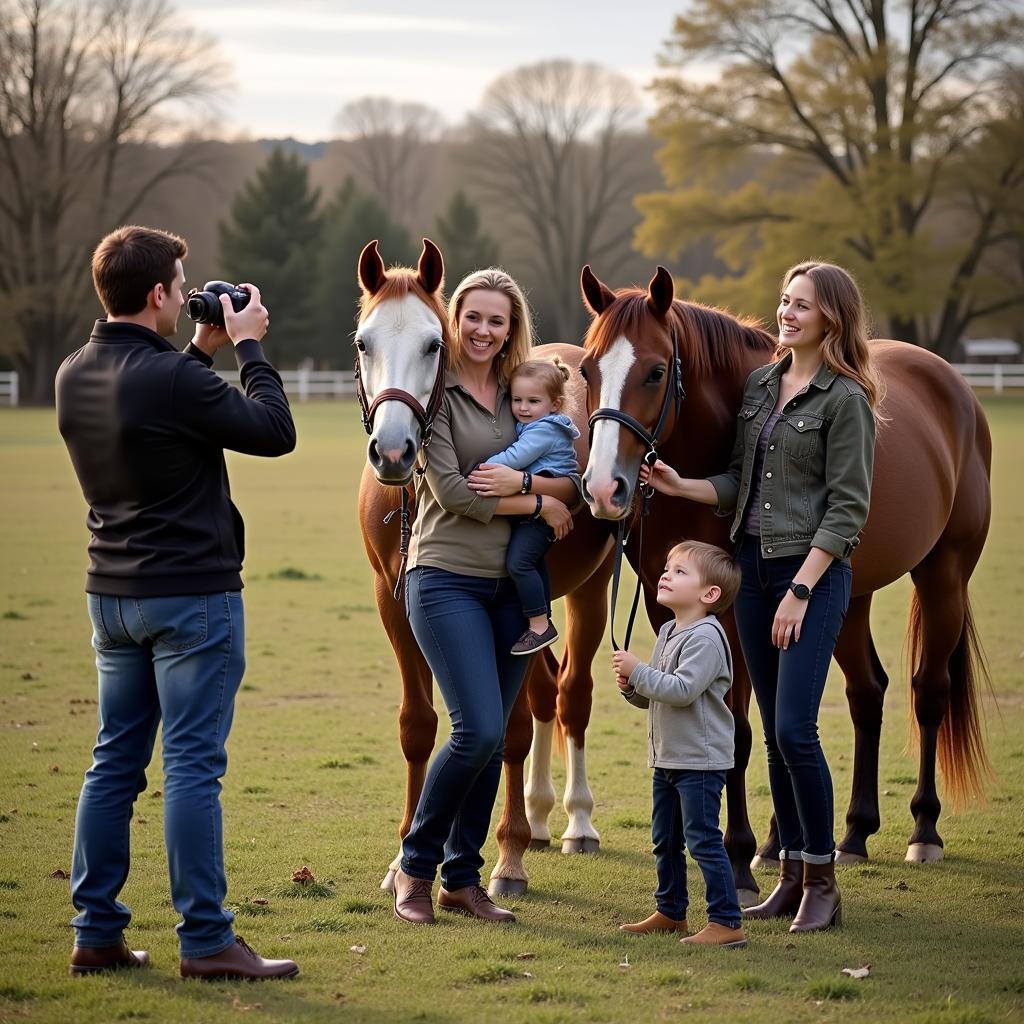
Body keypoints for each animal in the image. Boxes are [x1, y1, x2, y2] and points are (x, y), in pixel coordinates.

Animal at [577, 266, 991, 872]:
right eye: (586, 369)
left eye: (655, 372)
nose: (604, 489)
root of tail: (954, 386)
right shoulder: (668, 606)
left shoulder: (731, 614)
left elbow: (737, 731)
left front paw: (737, 851)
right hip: (849, 600)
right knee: (866, 693)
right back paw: (851, 833)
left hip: (945, 577)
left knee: (928, 692)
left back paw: (924, 831)